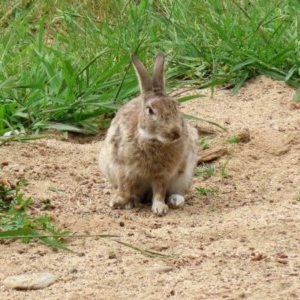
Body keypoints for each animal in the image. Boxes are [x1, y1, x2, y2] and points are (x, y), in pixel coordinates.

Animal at [99, 52, 199, 216]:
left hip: (185, 174)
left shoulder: (162, 174)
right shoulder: (124, 170)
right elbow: (124, 188)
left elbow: (159, 191)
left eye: (175, 106)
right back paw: (131, 202)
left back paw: (175, 201)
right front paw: (116, 202)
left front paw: (160, 209)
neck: (153, 140)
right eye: (150, 110)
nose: (175, 132)